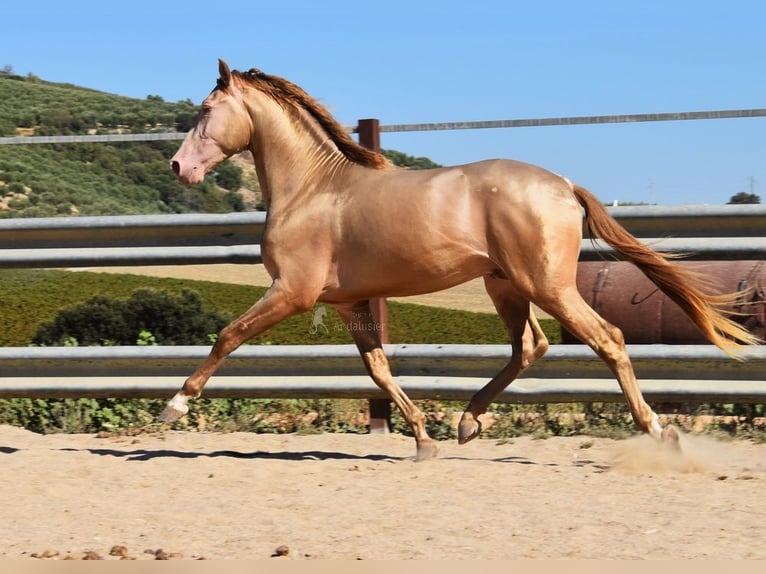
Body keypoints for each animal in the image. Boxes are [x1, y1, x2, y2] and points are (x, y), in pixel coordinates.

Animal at [164, 59, 760, 464]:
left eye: (206, 110)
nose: (177, 167)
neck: (314, 189)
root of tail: (564, 185)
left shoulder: (293, 291)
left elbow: (228, 335)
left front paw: (176, 405)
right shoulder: (350, 303)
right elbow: (378, 370)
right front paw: (423, 438)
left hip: (547, 285)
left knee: (606, 338)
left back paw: (660, 431)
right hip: (507, 285)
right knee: (530, 346)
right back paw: (467, 423)